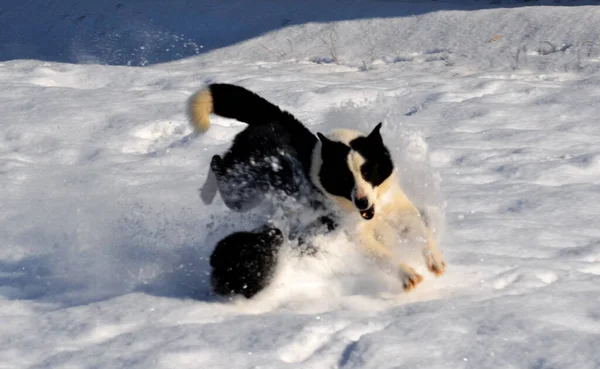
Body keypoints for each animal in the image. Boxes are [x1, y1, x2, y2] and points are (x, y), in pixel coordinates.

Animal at [188, 82, 446, 296]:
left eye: (367, 171)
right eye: (344, 177)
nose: (362, 202)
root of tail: (273, 117)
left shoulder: (401, 211)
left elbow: (421, 231)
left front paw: (433, 259)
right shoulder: (355, 234)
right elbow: (381, 255)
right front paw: (406, 273)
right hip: (239, 192)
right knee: (216, 164)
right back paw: (205, 192)